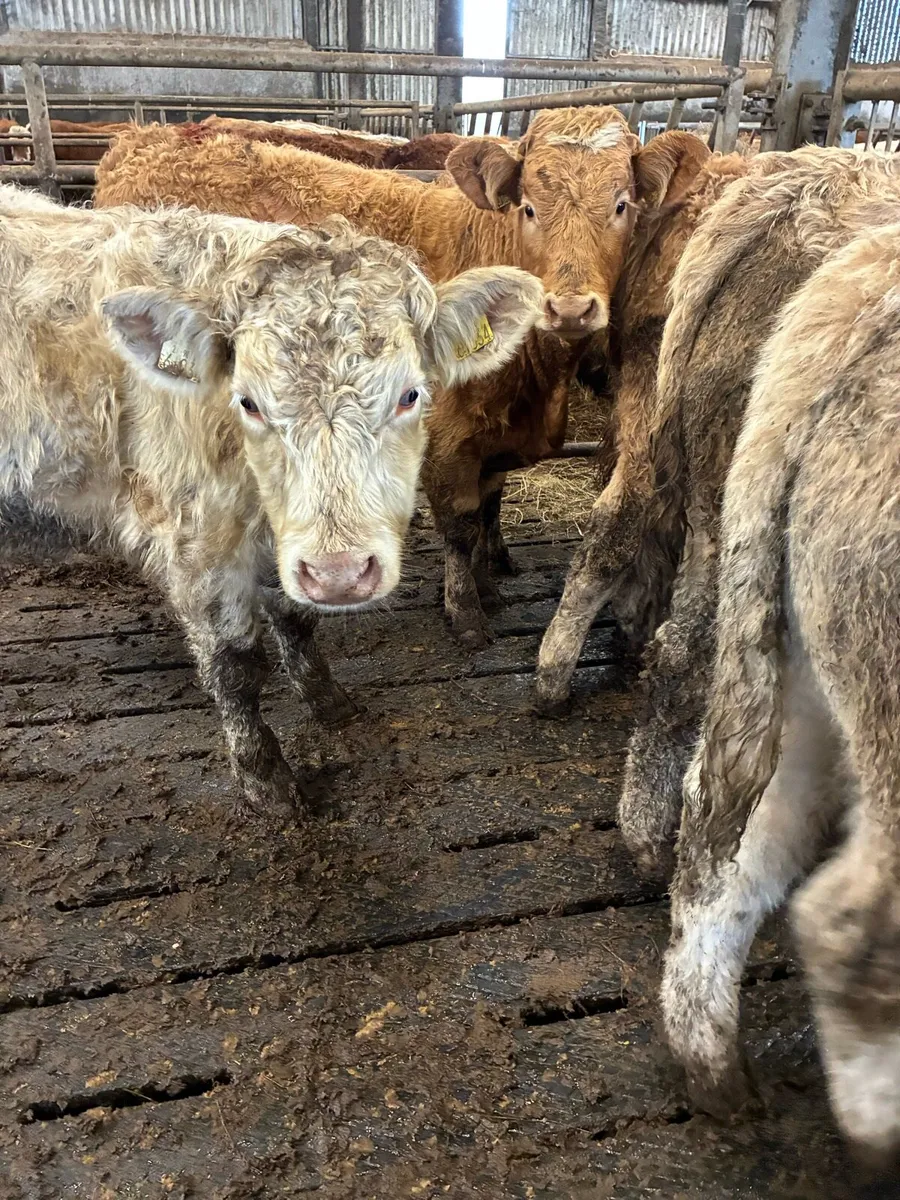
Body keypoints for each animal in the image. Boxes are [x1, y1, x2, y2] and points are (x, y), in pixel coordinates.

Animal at [0, 184, 541, 822]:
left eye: (410, 395)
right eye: (249, 402)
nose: (342, 574)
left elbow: (297, 619)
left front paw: (330, 703)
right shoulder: (196, 542)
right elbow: (234, 667)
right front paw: (267, 782)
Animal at [95, 113, 705, 648]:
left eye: (621, 205)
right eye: (530, 208)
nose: (572, 308)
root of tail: (143, 139)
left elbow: (490, 507)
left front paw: (489, 588)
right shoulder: (447, 442)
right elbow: (461, 527)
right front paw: (466, 614)